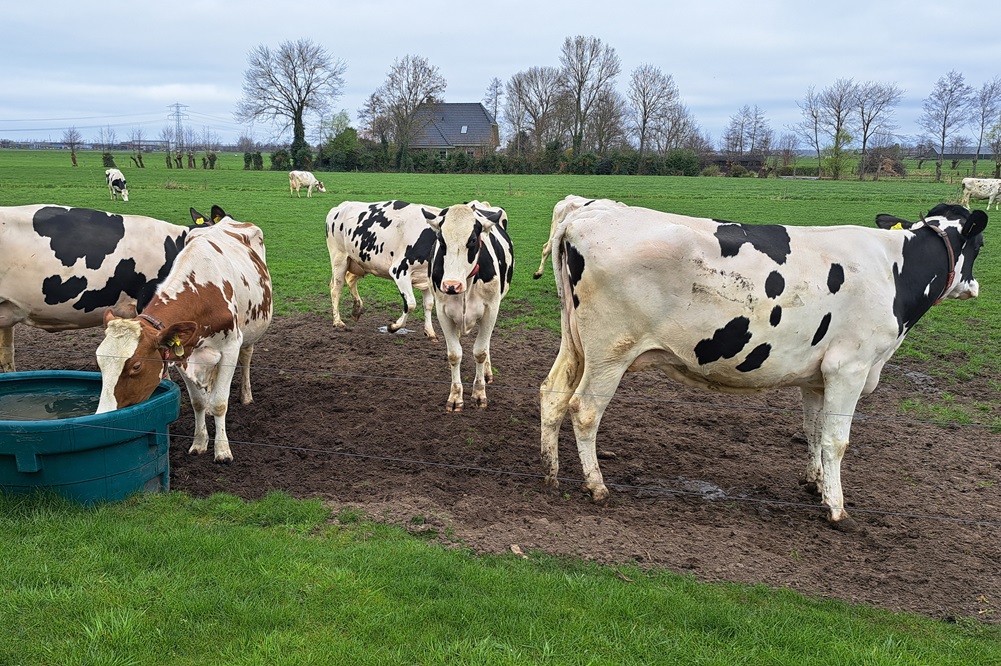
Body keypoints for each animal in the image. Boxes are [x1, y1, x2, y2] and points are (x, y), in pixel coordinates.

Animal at [96, 206, 272, 462]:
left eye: (136, 366)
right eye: (99, 362)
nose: (104, 417)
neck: (203, 291)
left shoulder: (230, 348)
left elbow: (220, 403)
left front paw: (222, 450)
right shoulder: (180, 353)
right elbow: (198, 402)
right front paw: (199, 442)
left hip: (252, 327)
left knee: (246, 357)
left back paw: (246, 395)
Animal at [424, 202, 516, 410]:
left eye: (473, 240)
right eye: (441, 240)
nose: (451, 285)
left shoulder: (491, 310)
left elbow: (480, 352)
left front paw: (479, 393)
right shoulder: (443, 312)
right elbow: (454, 354)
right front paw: (455, 396)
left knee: (486, 345)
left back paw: (488, 372)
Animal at [540, 200, 984, 528]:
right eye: (979, 245)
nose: (975, 286)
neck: (893, 270)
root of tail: (588, 210)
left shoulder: (817, 376)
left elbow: (813, 431)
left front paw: (815, 484)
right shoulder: (850, 368)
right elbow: (836, 440)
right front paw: (837, 508)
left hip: (575, 342)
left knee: (552, 393)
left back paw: (551, 472)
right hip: (611, 349)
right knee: (585, 409)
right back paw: (596, 486)